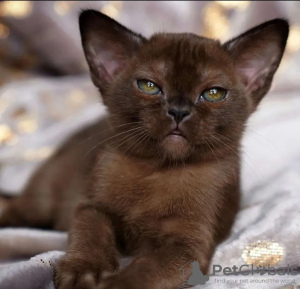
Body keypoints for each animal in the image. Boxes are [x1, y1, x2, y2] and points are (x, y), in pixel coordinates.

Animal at [0, 10, 288, 286]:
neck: (157, 171)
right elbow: (92, 234)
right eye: (149, 86)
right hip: (42, 202)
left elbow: (143, 272)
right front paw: (84, 272)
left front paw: (109, 285)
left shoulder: (188, 245)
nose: (179, 111)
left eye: (214, 93)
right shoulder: (91, 207)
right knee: (17, 208)